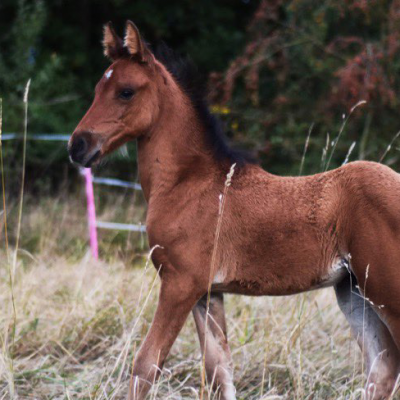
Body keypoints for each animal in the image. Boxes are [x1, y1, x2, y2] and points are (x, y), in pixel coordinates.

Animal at [69, 21, 400, 400]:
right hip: (352, 289)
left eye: (126, 91)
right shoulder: (208, 292)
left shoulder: (180, 283)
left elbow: (146, 364)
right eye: (98, 88)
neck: (189, 181)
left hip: (387, 291)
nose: (77, 146)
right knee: (382, 367)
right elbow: (219, 371)